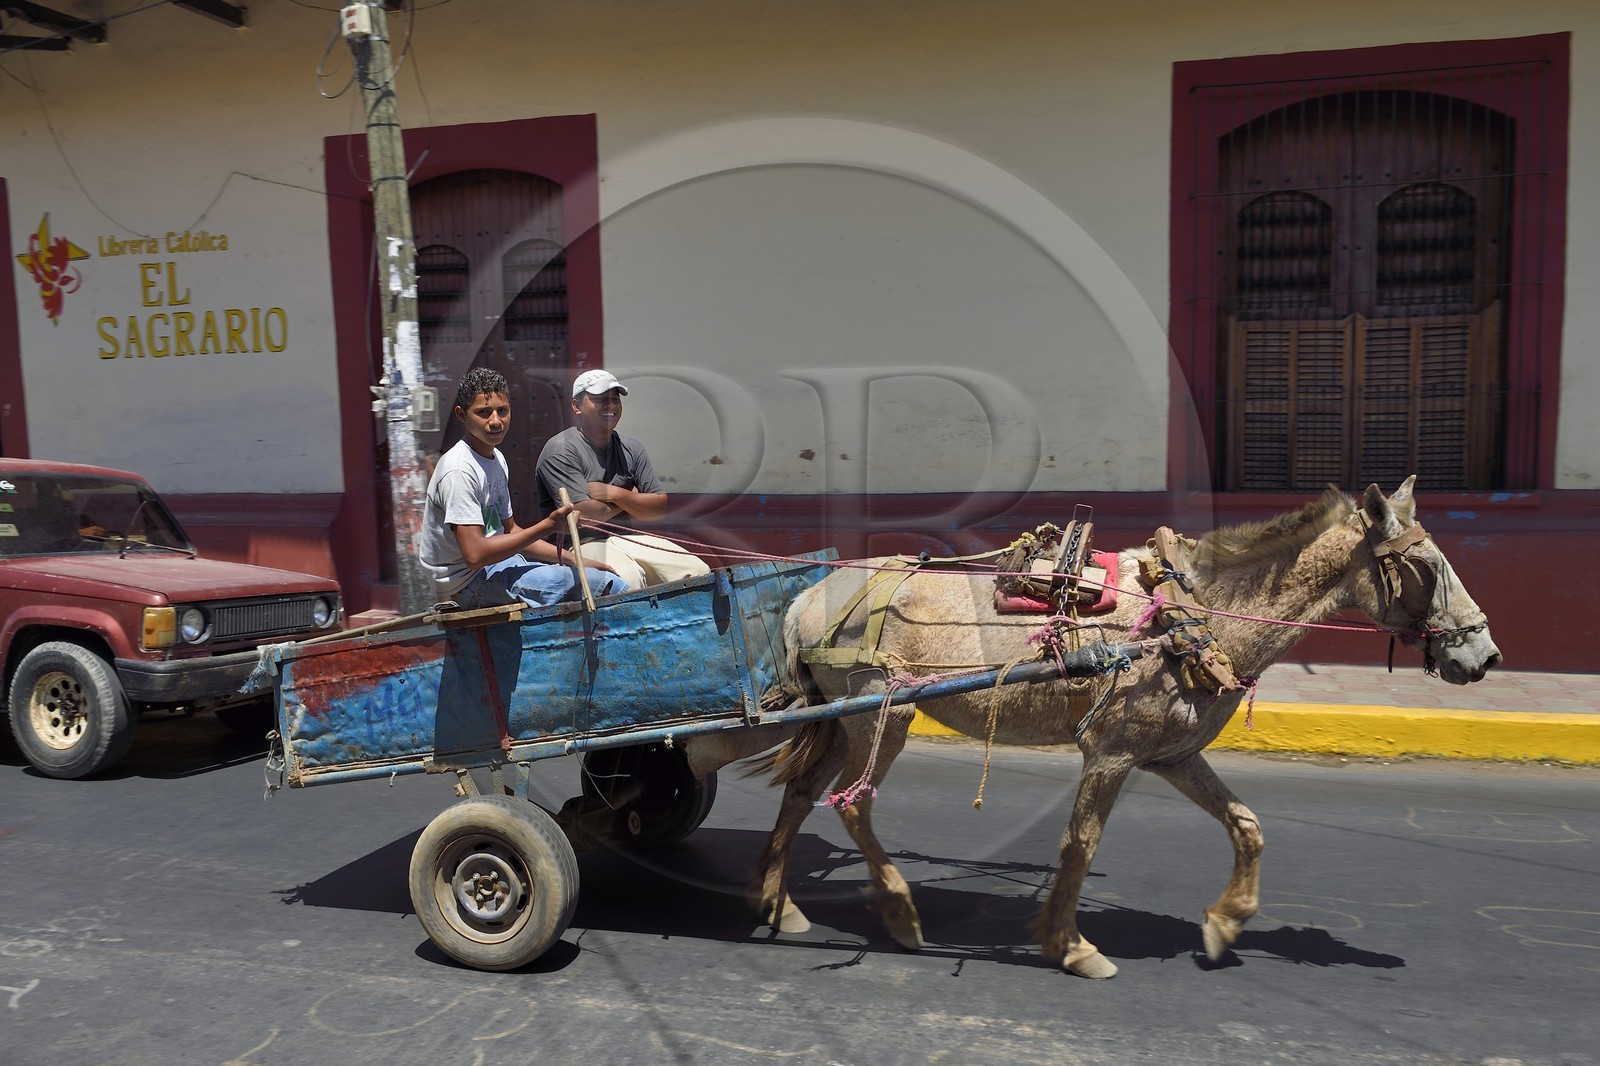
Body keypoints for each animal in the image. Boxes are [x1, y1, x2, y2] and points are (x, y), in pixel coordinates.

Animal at [685, 476, 1501, 979]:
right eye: (1428, 566)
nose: (1485, 655)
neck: (1191, 616)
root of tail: (811, 596)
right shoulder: (1110, 752)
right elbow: (1080, 844)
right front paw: (1070, 944)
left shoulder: (1172, 755)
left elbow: (1247, 827)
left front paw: (1226, 922)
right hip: (885, 718)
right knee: (851, 807)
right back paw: (900, 914)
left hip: (846, 722)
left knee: (800, 799)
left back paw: (781, 905)